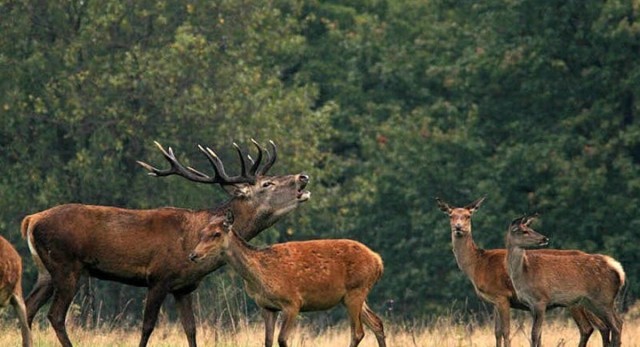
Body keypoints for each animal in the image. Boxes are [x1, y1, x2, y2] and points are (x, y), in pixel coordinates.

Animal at [20, 139, 310, 347]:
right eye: (267, 184)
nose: (303, 177)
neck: (192, 241)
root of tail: (31, 220)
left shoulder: (184, 287)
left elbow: (191, 330)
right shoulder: (159, 277)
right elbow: (147, 326)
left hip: (47, 271)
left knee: (29, 308)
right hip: (67, 266)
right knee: (55, 315)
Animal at [186, 209, 384, 347]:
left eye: (217, 233)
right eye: (201, 233)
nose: (193, 255)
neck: (260, 278)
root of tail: (378, 261)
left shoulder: (293, 302)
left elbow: (282, 339)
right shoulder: (266, 306)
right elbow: (268, 341)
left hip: (356, 290)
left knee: (358, 332)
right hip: (351, 296)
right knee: (377, 323)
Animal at [436, 198, 608, 347]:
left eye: (468, 215)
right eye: (450, 215)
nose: (458, 227)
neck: (477, 265)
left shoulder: (502, 295)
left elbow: (505, 331)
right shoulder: (494, 301)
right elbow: (496, 332)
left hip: (578, 301)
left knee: (591, 327)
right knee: (599, 326)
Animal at [504, 215, 624, 347]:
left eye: (530, 229)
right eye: (524, 231)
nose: (545, 238)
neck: (523, 274)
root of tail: (619, 270)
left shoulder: (541, 300)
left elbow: (534, 334)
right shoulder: (531, 305)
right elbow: (538, 335)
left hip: (602, 299)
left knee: (615, 326)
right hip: (591, 302)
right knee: (615, 323)